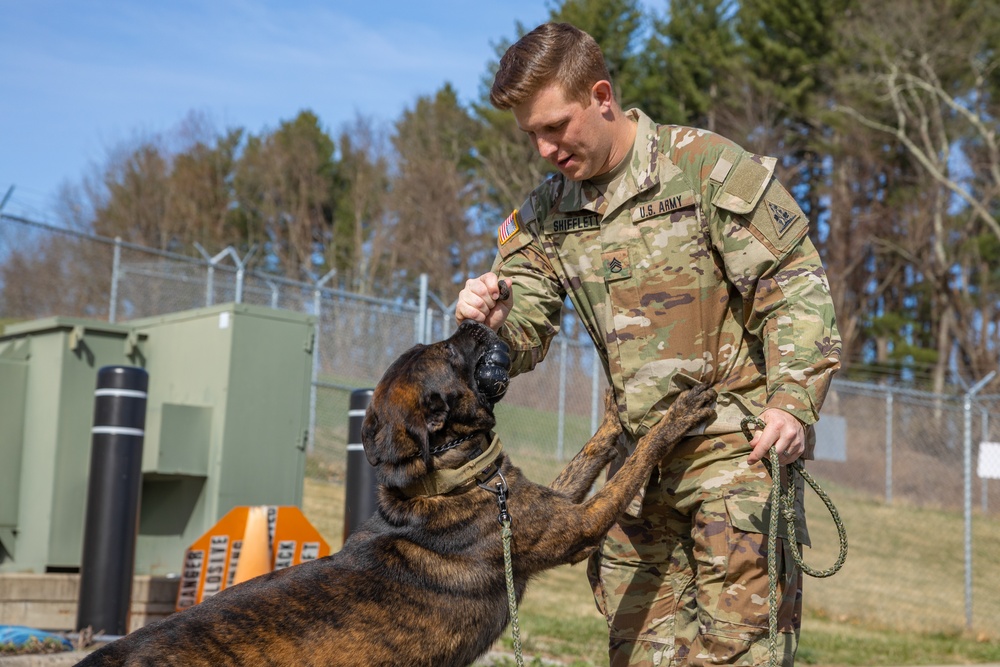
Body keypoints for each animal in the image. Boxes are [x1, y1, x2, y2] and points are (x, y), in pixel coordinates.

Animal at [82, 320, 716, 664]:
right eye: (450, 353)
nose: (475, 319)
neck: (447, 481)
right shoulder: (578, 526)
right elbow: (638, 459)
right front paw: (679, 412)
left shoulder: (550, 501)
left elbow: (594, 451)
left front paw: (613, 408)